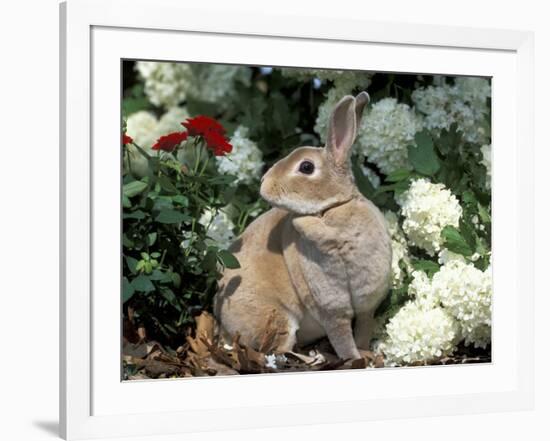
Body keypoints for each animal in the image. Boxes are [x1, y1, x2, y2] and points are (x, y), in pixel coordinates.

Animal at [215, 91, 392, 360]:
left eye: (306, 167)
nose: (264, 182)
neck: (330, 209)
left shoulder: (366, 305)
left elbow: (362, 330)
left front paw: (365, 354)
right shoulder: (331, 308)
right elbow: (343, 339)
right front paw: (355, 359)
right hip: (277, 319)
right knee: (280, 351)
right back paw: (313, 357)